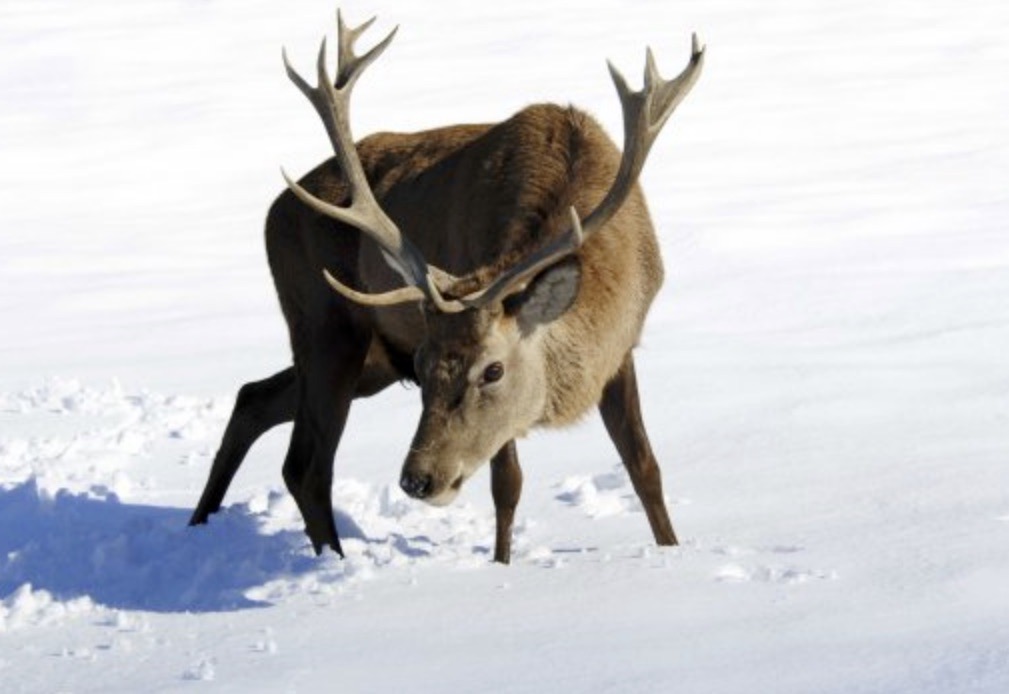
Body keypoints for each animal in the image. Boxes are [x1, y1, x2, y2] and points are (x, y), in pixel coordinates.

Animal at [189, 11, 704, 564]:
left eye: (493, 370)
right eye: (424, 364)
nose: (417, 480)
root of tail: (274, 211)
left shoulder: (621, 350)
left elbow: (644, 466)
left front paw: (673, 550)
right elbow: (508, 485)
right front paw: (501, 566)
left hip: (370, 360)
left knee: (253, 398)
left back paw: (200, 523)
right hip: (325, 325)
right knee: (306, 464)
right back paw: (332, 559)